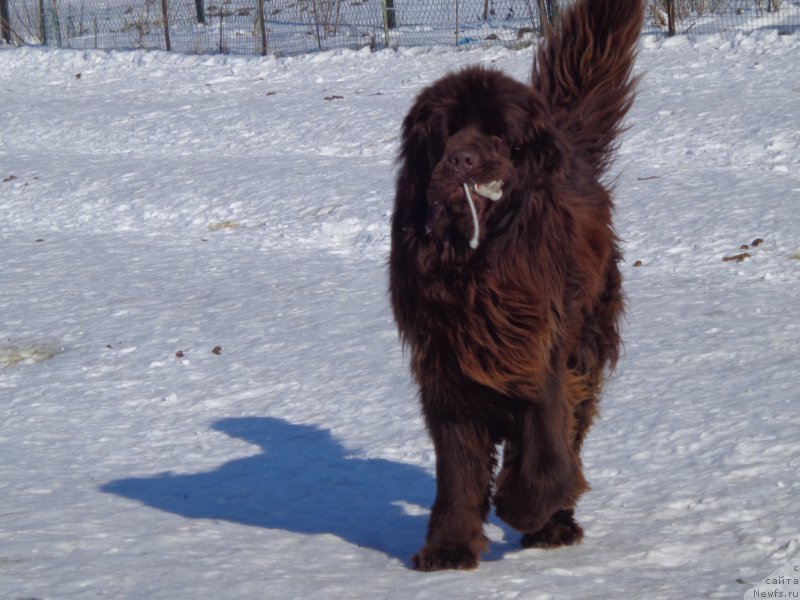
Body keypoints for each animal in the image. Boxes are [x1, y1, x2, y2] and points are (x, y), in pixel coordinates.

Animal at [388, 0, 644, 572]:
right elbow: (458, 470)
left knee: (572, 430)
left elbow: (545, 445)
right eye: (445, 134)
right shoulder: (447, 367)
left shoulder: (535, 350)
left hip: (586, 339)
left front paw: (527, 506)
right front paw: (449, 547)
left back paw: (555, 522)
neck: (474, 265)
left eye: (500, 136)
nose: (462, 160)